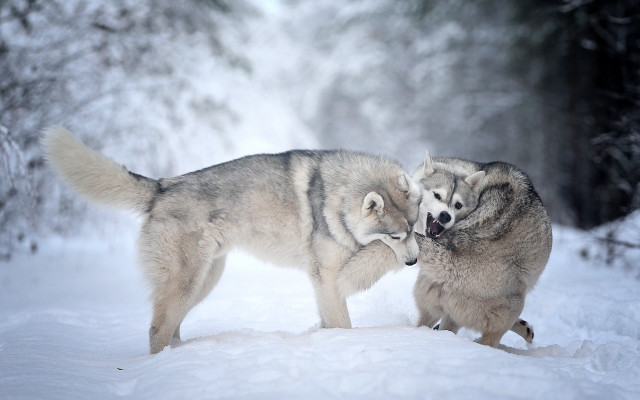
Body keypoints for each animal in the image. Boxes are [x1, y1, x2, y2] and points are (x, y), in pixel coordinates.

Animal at [41, 127, 421, 354]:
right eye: (394, 235)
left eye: (414, 226)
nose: (414, 261)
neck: (335, 197)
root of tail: (163, 186)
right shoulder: (326, 277)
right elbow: (342, 321)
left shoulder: (326, 279)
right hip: (188, 283)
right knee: (156, 329)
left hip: (203, 282)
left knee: (171, 326)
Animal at [338, 152, 552, 347]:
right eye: (437, 195)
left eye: (458, 205)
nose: (445, 216)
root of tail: (454, 250)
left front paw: (525, 328)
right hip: (502, 307)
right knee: (487, 340)